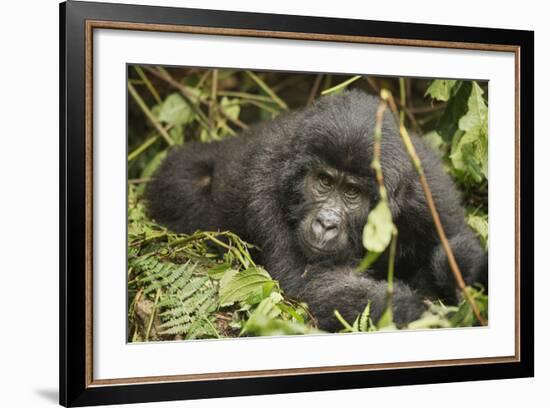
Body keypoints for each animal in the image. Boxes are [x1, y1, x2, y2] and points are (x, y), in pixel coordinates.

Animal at [146, 89, 488, 332]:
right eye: (323, 181)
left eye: (352, 193)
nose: (325, 224)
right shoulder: (263, 183)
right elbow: (306, 284)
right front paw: (417, 311)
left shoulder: (428, 191)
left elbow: (456, 241)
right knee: (187, 180)